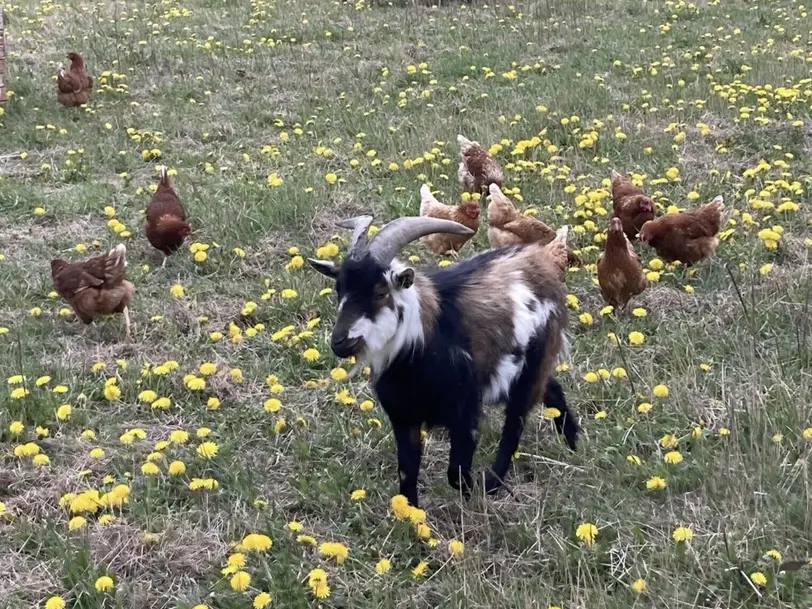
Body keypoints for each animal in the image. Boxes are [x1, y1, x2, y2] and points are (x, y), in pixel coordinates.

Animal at [308, 216, 580, 506]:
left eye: (381, 292)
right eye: (339, 290)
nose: (339, 341)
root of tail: (541, 262)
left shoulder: (465, 411)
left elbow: (456, 472)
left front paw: (473, 495)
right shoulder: (403, 417)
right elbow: (407, 471)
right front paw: (411, 515)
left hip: (533, 363)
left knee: (514, 424)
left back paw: (493, 484)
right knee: (552, 388)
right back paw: (573, 444)